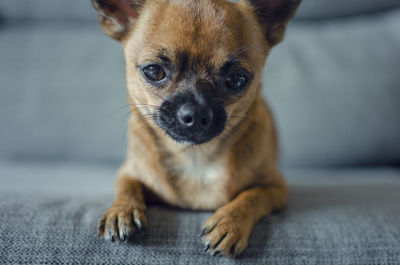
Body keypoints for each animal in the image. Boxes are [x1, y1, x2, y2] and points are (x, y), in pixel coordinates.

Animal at [90, 0, 300, 256]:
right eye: (154, 71)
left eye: (237, 79)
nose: (196, 112)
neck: (194, 157)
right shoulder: (128, 172)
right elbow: (127, 186)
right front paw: (122, 211)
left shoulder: (276, 188)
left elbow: (252, 195)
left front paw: (230, 222)